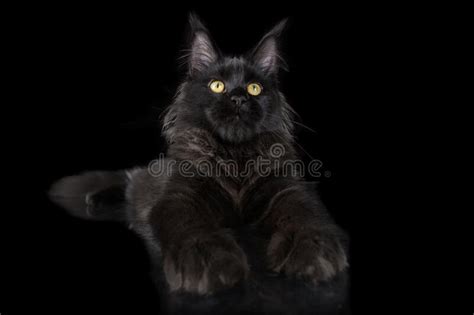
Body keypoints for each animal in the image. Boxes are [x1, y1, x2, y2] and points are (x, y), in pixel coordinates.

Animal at [50, 14, 348, 298]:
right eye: (217, 86)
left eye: (254, 88)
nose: (238, 98)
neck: (235, 158)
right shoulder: (181, 196)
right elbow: (192, 228)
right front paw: (207, 262)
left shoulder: (288, 190)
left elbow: (305, 218)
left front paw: (312, 252)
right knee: (128, 179)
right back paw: (94, 197)